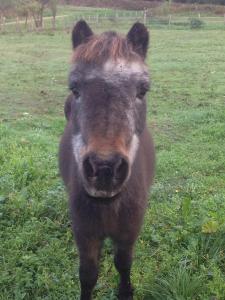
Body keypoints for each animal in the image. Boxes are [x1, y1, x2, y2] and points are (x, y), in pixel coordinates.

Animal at [59, 19, 156, 298]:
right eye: (75, 89)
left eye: (142, 90)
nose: (104, 168)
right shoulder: (86, 234)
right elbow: (88, 274)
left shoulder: (128, 232)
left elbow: (123, 263)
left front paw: (125, 291)